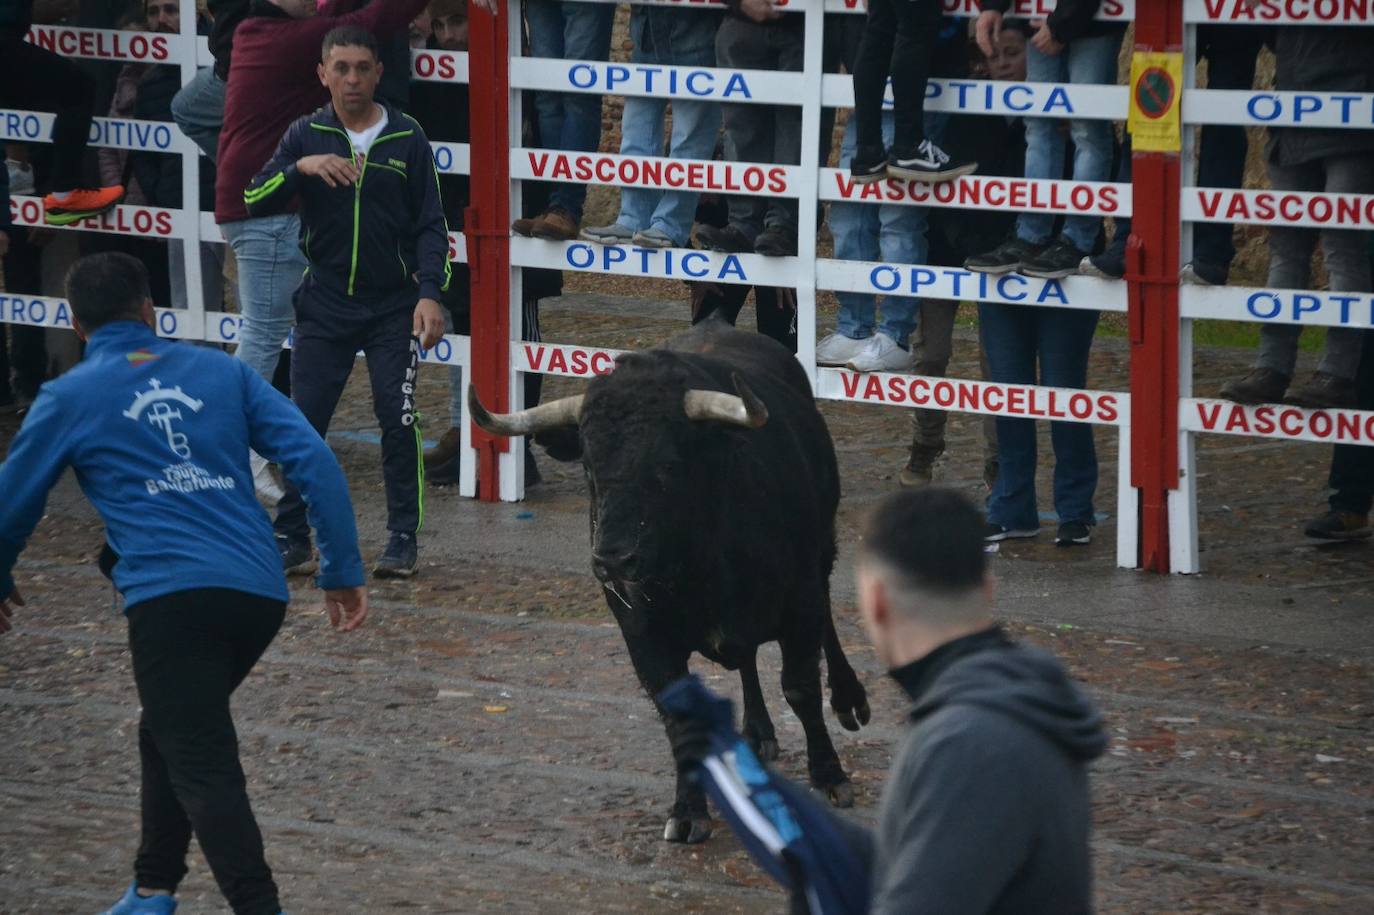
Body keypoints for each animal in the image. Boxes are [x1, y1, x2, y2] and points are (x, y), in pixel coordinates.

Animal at [472, 315, 868, 840]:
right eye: (589, 466)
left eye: (666, 464)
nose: (613, 560)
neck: (701, 565)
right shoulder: (642, 635)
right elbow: (680, 720)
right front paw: (688, 810)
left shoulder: (800, 602)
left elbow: (801, 687)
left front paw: (829, 775)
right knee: (746, 660)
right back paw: (758, 731)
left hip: (822, 550)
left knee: (826, 625)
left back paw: (848, 698)